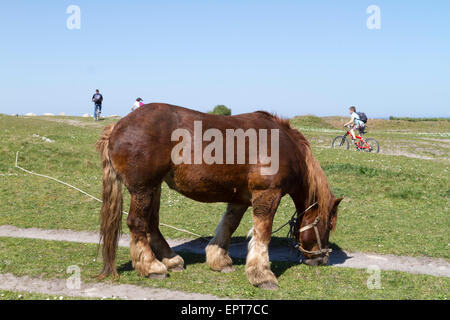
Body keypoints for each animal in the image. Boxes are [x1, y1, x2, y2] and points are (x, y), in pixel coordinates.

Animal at [96, 102, 342, 290]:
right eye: (328, 225)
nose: (322, 259)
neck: (284, 145)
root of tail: (118, 126)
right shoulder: (267, 194)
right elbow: (263, 234)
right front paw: (262, 275)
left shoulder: (240, 198)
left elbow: (228, 226)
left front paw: (219, 259)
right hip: (143, 188)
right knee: (137, 223)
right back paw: (151, 266)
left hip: (154, 187)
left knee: (151, 224)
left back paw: (171, 260)